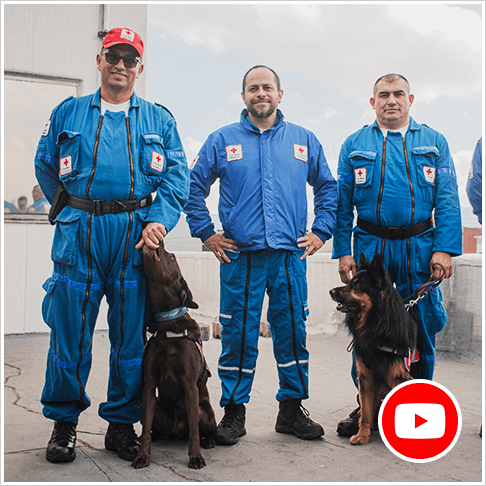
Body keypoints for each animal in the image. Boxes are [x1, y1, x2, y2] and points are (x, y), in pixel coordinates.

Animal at [330, 252, 418, 446]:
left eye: (357, 285)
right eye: (350, 281)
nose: (331, 291)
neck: (376, 325)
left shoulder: (398, 376)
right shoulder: (365, 376)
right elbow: (365, 410)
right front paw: (362, 435)